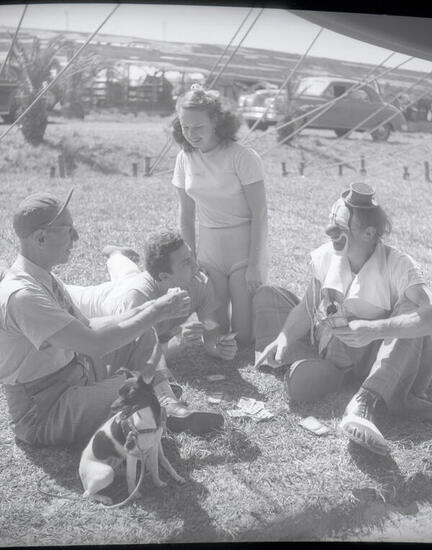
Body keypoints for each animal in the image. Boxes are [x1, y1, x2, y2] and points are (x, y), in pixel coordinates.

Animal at [79, 369, 186, 506]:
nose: (112, 407)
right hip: (107, 473)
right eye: (118, 393)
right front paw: (133, 494)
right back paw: (105, 498)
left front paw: (158, 483)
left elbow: (155, 468)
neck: (145, 422)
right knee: (86, 494)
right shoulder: (132, 454)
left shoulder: (153, 448)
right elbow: (131, 477)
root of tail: (81, 472)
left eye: (131, 394)